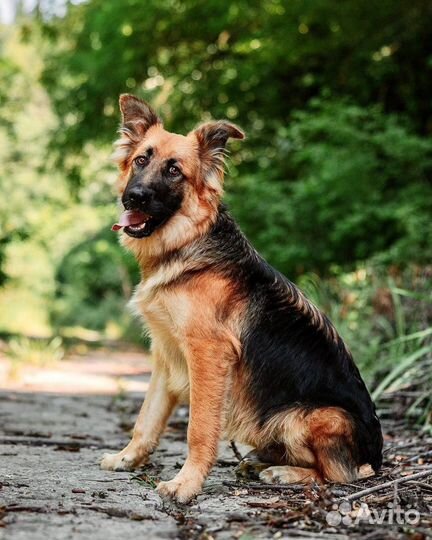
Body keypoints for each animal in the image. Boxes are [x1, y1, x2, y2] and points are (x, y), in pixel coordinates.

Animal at [100, 93, 382, 502]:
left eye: (174, 171)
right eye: (140, 160)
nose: (132, 197)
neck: (188, 241)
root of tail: (377, 457)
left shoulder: (207, 353)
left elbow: (199, 430)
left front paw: (186, 484)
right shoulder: (166, 354)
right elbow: (146, 418)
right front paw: (127, 458)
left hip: (311, 415)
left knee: (341, 474)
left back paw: (283, 472)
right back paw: (260, 463)